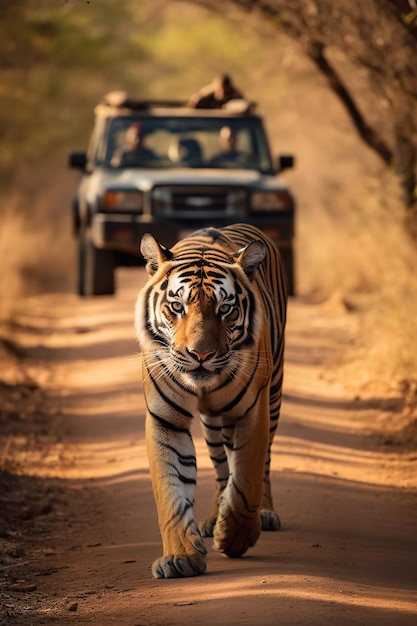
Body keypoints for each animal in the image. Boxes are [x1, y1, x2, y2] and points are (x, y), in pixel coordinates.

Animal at [134, 222, 286, 576]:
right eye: (177, 307)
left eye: (225, 309)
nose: (200, 355)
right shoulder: (165, 418)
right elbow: (170, 489)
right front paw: (180, 557)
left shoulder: (252, 411)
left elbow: (247, 478)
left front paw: (235, 537)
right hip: (214, 424)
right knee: (220, 467)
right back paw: (213, 517)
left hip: (272, 396)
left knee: (262, 465)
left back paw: (264, 514)